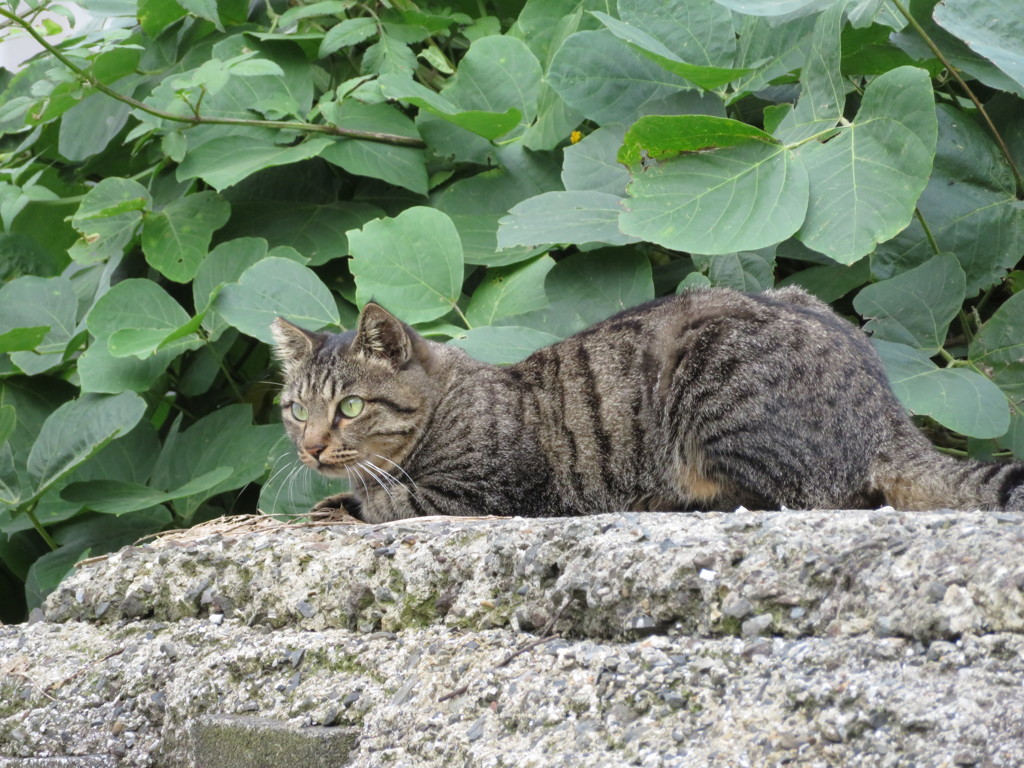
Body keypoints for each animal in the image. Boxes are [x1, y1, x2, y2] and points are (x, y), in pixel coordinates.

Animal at [272, 286, 1024, 528]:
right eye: (295, 410)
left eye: (349, 407)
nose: (310, 447)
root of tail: (886, 411)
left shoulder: (491, 490)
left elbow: (394, 501)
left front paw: (345, 505)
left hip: (714, 385)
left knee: (801, 498)